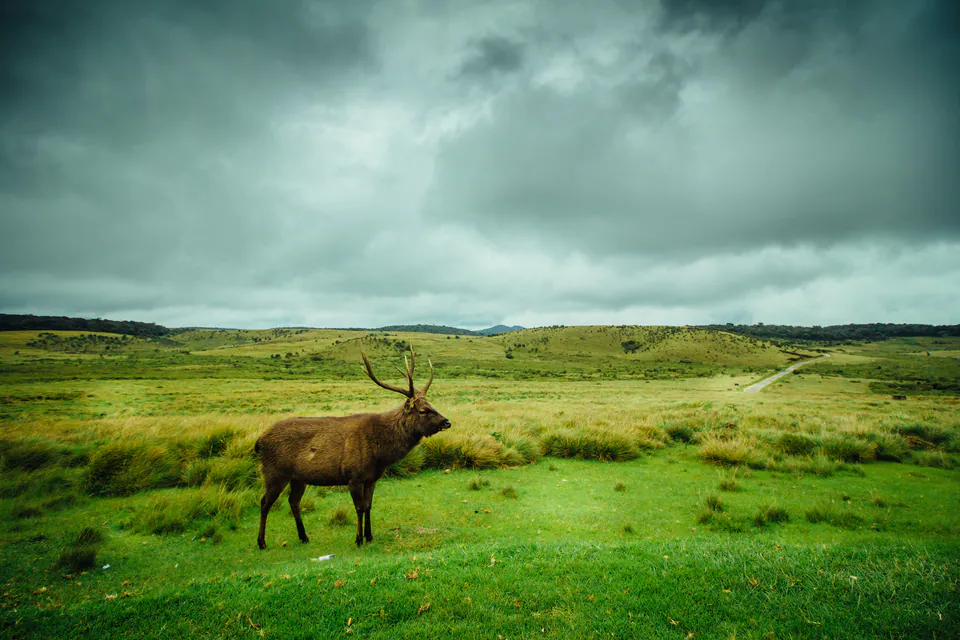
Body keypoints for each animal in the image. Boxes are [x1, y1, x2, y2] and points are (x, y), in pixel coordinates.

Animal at [254, 339, 451, 549]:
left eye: (431, 404)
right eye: (423, 410)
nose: (447, 422)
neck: (380, 454)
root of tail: (258, 442)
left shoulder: (372, 478)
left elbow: (368, 506)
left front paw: (369, 535)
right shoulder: (353, 476)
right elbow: (359, 507)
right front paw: (358, 539)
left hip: (298, 477)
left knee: (293, 501)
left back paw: (304, 537)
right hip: (275, 472)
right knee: (265, 502)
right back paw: (262, 542)